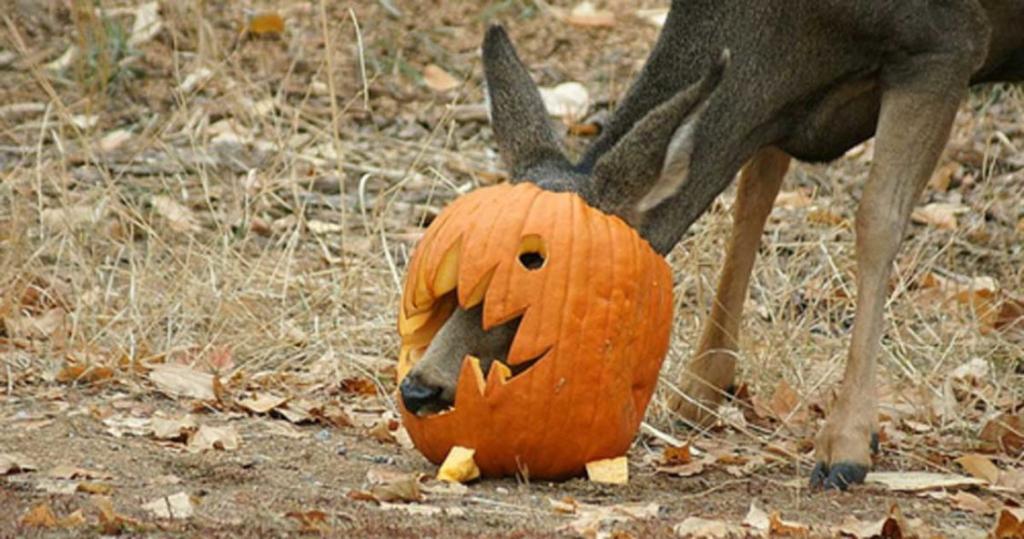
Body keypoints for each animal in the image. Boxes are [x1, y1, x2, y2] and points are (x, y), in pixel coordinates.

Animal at [399, 0, 1024, 489]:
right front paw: (699, 388)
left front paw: (846, 444)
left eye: (535, 261)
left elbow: (876, 220)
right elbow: (752, 199)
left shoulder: (944, 45)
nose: (420, 387)